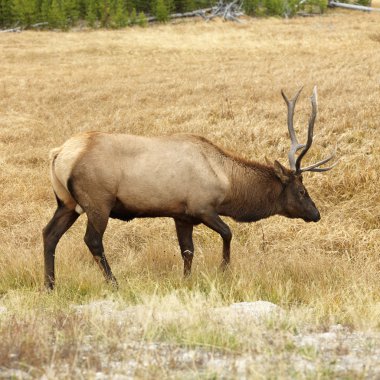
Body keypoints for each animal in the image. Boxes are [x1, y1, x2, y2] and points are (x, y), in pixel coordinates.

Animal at [43, 86, 336, 288]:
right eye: (301, 191)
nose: (316, 214)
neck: (227, 183)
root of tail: (58, 154)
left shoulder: (181, 215)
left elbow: (187, 251)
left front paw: (186, 280)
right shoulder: (202, 207)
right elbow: (228, 233)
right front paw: (223, 271)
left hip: (66, 202)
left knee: (49, 234)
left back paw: (50, 285)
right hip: (97, 202)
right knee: (92, 240)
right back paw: (113, 283)